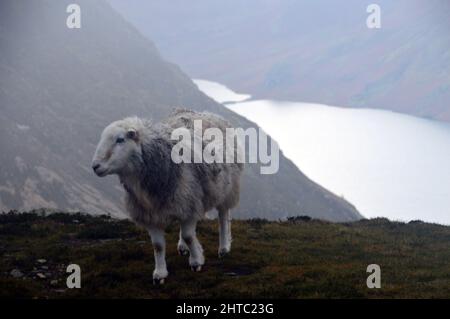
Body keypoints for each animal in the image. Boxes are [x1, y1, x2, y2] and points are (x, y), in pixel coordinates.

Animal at [92, 110, 244, 284]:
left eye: (120, 139)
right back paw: (183, 247)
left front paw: (196, 261)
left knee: (223, 216)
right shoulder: (152, 213)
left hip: (227, 188)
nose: (95, 166)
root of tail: (207, 113)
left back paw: (224, 247)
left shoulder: (189, 203)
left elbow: (189, 236)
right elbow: (158, 245)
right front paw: (160, 274)